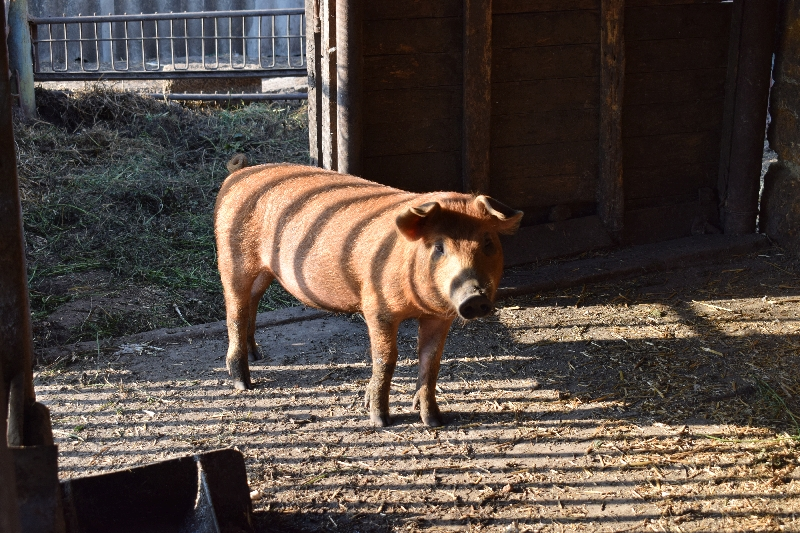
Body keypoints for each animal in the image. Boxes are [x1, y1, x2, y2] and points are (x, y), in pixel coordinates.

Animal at [214, 159, 524, 428]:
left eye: (487, 242)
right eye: (439, 247)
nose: (475, 297)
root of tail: (238, 174)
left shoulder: (439, 316)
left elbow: (431, 361)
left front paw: (434, 421)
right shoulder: (377, 307)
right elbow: (386, 359)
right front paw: (380, 421)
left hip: (264, 271)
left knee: (252, 300)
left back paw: (257, 355)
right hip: (231, 257)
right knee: (235, 311)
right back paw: (243, 383)